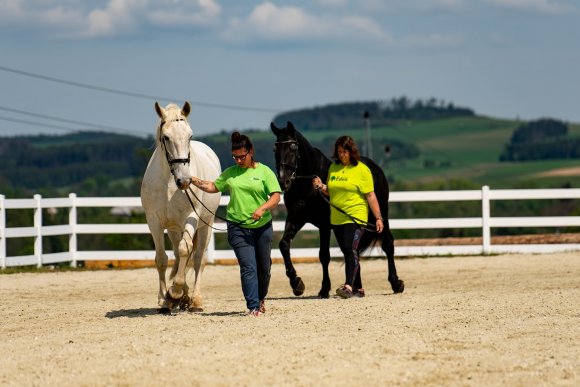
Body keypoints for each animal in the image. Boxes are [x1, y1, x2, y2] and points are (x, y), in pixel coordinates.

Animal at [142, 101, 221, 314]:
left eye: (189, 136)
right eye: (166, 137)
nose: (185, 181)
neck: (169, 182)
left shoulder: (191, 217)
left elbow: (187, 250)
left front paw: (176, 292)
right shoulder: (154, 222)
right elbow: (162, 259)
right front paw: (165, 299)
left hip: (205, 224)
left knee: (198, 258)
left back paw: (195, 299)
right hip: (174, 228)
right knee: (178, 256)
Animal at [270, 123, 404, 298]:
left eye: (293, 147)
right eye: (275, 148)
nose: (283, 181)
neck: (307, 186)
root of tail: (376, 168)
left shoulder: (324, 225)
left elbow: (324, 255)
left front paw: (323, 289)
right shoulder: (295, 218)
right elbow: (284, 245)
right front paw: (297, 284)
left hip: (380, 216)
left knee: (387, 244)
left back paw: (396, 283)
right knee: (353, 250)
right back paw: (357, 288)